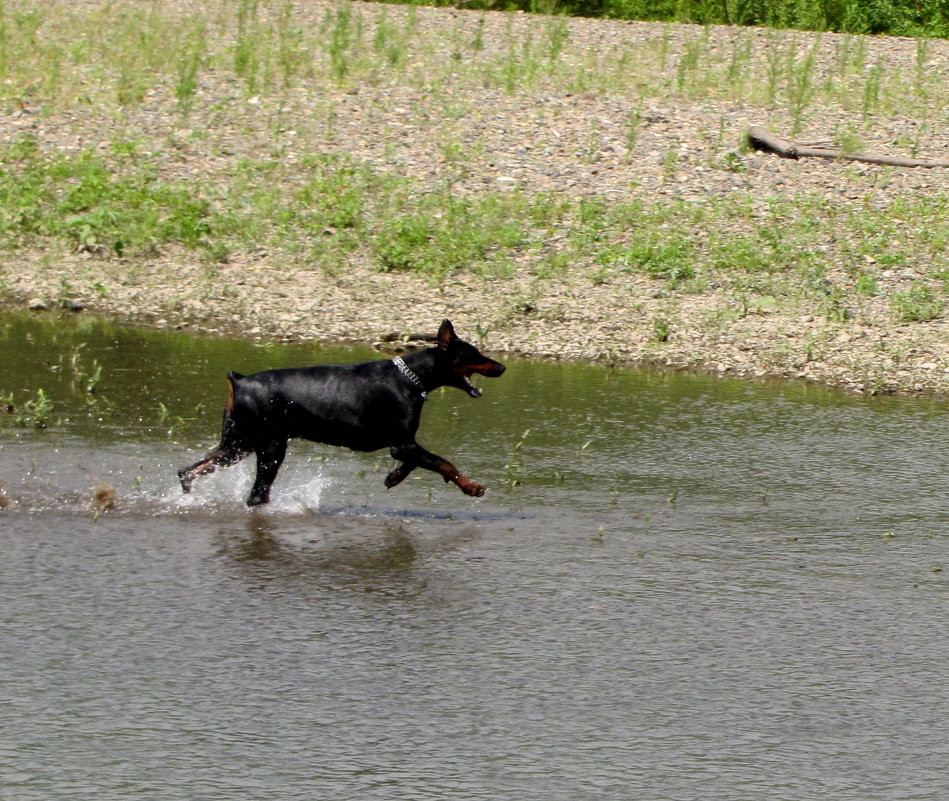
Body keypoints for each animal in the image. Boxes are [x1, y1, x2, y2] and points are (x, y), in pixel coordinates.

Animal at [178, 320, 504, 504]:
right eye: (473, 354)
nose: (501, 367)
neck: (413, 378)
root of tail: (239, 380)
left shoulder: (403, 444)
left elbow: (419, 462)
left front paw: (393, 478)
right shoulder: (401, 443)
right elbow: (444, 463)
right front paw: (471, 487)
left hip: (239, 444)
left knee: (189, 470)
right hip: (270, 446)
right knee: (257, 495)